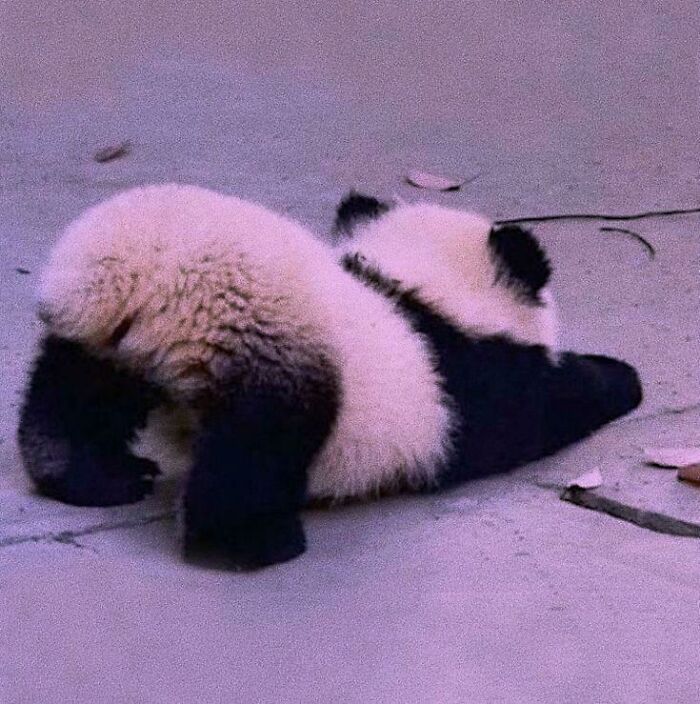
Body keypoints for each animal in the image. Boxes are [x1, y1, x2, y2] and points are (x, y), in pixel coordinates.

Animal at [18, 184, 642, 569]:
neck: (421, 285)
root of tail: (135, 283)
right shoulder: (472, 381)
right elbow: (538, 409)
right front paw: (619, 378)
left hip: (109, 347)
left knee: (73, 396)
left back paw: (94, 476)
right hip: (264, 347)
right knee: (257, 449)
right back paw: (253, 541)